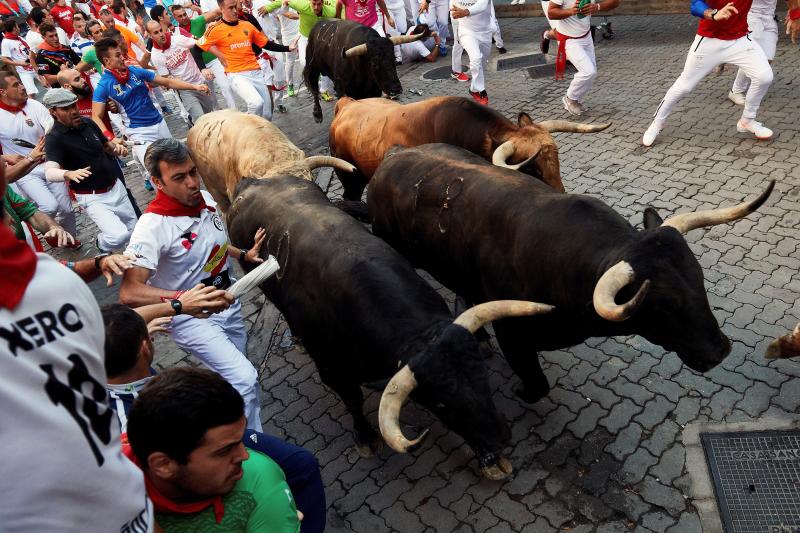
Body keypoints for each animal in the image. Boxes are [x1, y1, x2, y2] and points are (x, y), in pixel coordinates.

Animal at [222, 174, 552, 478]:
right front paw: (366, 437)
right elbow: (353, 400)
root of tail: (252, 182)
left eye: (482, 376)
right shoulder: (332, 369)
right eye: (440, 404)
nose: (500, 438)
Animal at [368, 143, 776, 402]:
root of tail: (394, 155)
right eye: (662, 305)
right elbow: (536, 383)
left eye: (699, 281)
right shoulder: (513, 334)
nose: (719, 350)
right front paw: (521, 391)